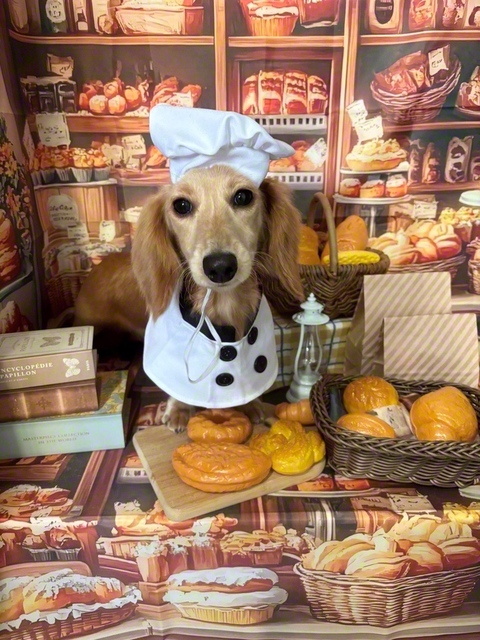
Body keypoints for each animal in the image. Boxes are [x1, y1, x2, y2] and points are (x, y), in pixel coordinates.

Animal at [74, 165, 303, 432]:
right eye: (181, 205)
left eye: (243, 196)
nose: (220, 266)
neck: (221, 303)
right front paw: (179, 409)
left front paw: (250, 404)